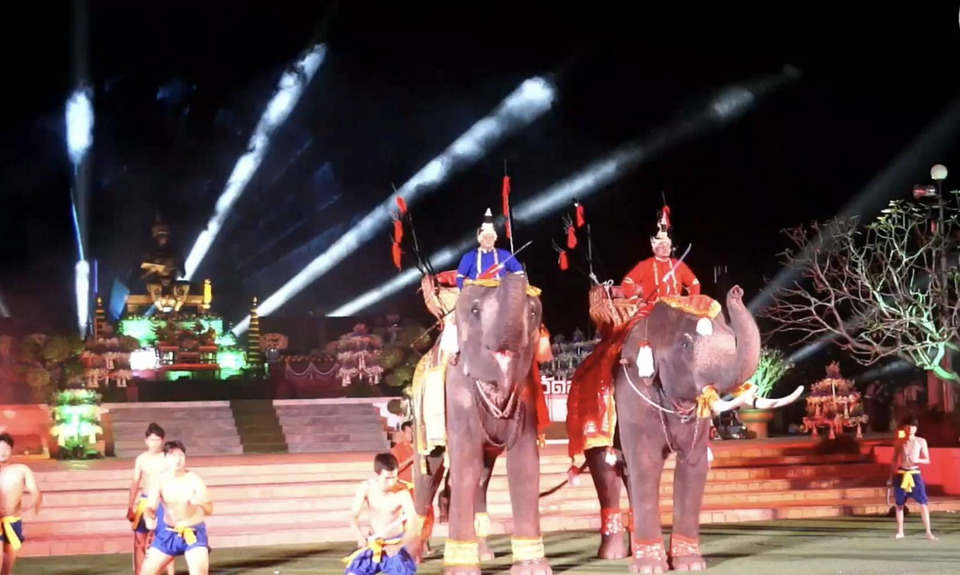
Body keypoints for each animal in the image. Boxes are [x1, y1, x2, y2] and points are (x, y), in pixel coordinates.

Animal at [409, 273, 552, 575]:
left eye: (533, 314)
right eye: (474, 311)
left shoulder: (528, 396)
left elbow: (523, 465)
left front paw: (533, 568)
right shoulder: (457, 395)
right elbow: (465, 465)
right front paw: (460, 570)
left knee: (483, 478)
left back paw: (485, 554)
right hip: (421, 418)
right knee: (428, 474)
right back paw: (410, 558)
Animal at [567, 286, 803, 573]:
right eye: (685, 345)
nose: (736, 291)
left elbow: (693, 465)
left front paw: (689, 565)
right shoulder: (632, 394)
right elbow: (646, 463)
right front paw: (651, 568)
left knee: (628, 476)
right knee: (606, 473)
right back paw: (612, 555)